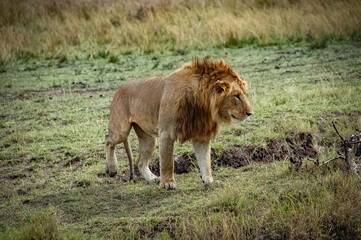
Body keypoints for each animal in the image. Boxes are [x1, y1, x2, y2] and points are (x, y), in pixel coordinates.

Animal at [104, 57, 250, 189]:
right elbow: (168, 162)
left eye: (244, 94)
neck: (203, 103)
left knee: (140, 162)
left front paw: (209, 182)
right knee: (108, 139)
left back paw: (152, 179)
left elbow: (205, 162)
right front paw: (168, 183)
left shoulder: (201, 134)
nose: (250, 113)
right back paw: (111, 169)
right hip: (121, 131)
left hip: (148, 139)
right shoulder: (166, 132)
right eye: (237, 96)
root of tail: (119, 88)